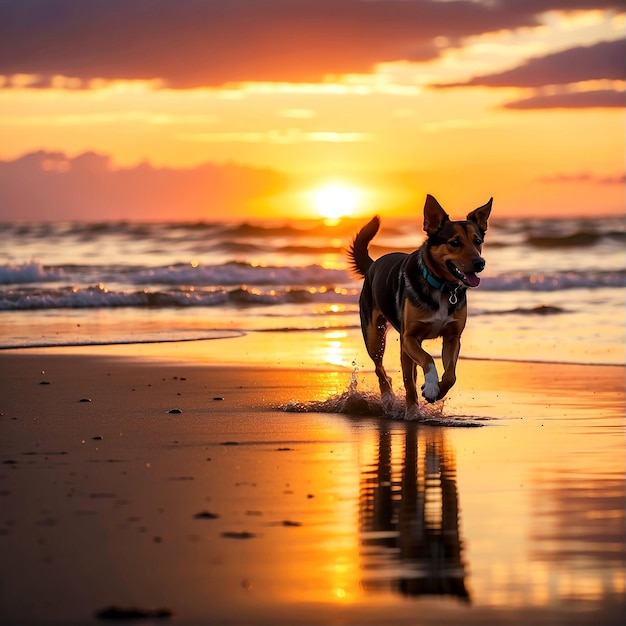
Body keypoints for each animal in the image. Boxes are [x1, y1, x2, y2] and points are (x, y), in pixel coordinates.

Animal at [348, 193, 490, 416]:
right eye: (455, 242)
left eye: (478, 241)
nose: (480, 263)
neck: (441, 286)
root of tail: (373, 265)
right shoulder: (410, 337)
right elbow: (428, 360)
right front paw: (430, 387)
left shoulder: (452, 338)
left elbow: (451, 375)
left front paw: (438, 390)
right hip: (374, 336)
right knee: (382, 369)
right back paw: (392, 400)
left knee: (408, 375)